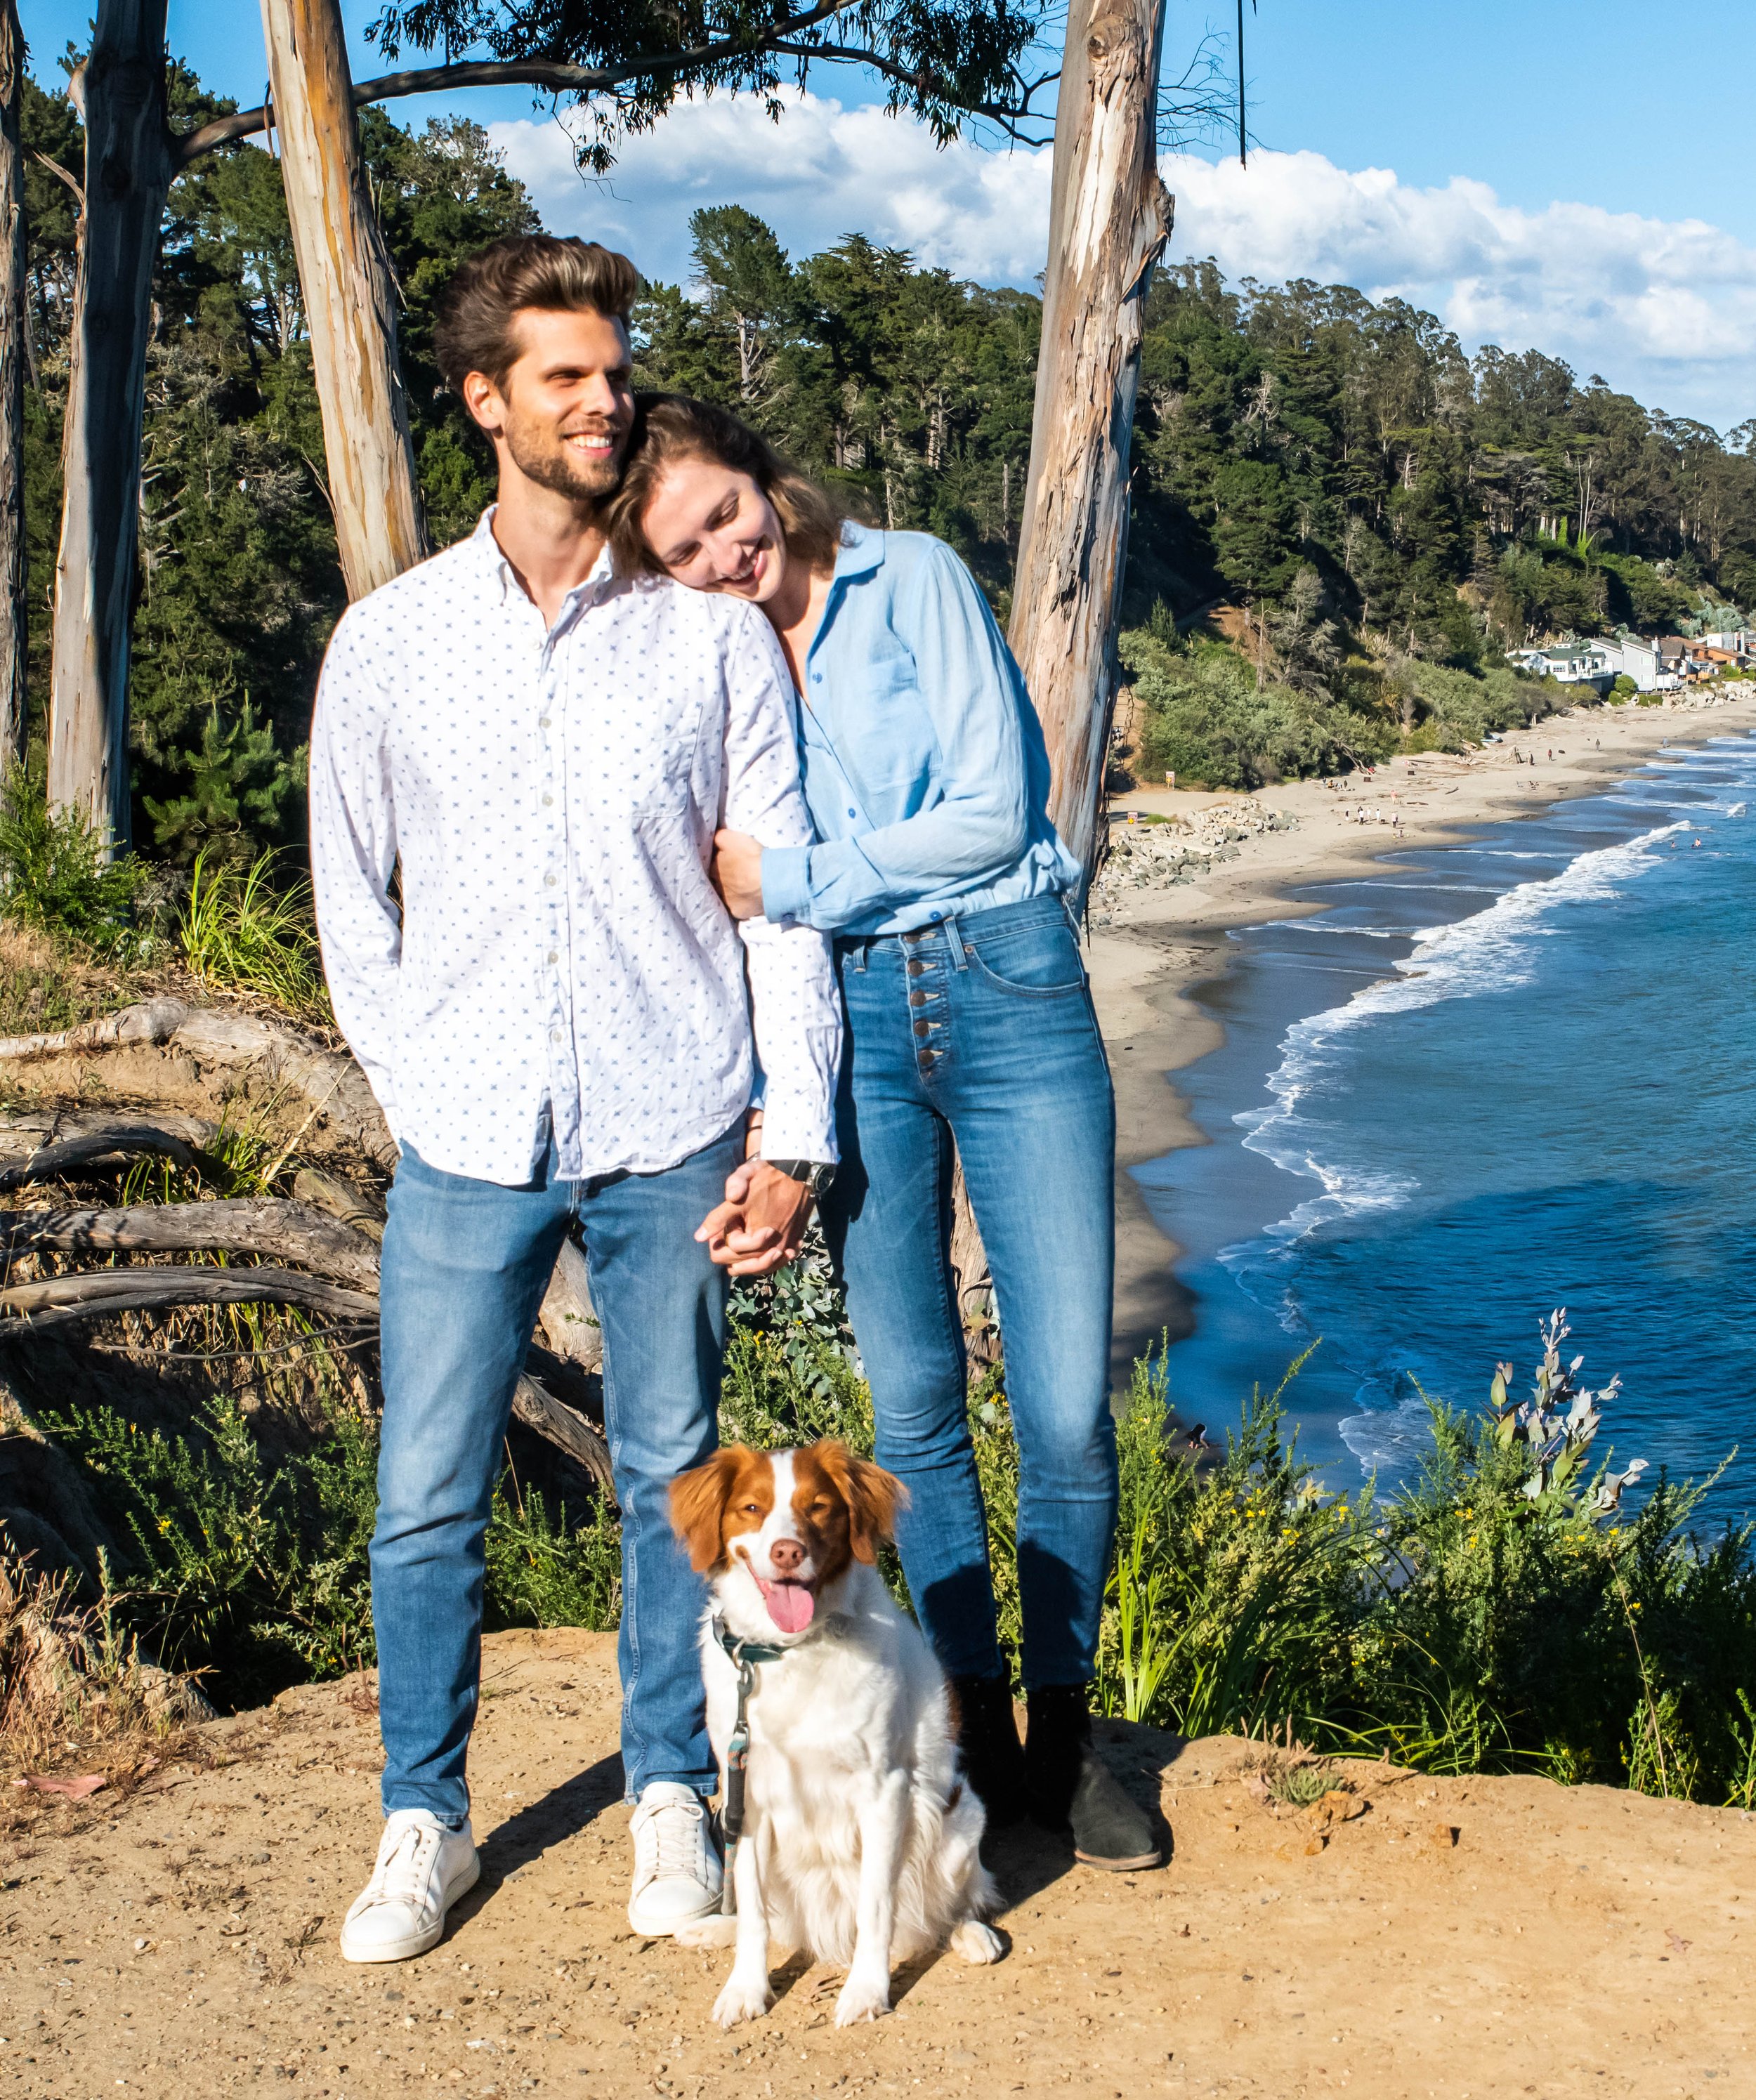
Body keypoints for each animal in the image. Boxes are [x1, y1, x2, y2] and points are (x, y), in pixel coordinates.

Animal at [667, 1439, 1004, 2028]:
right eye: (752, 1508)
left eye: (818, 1507)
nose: (786, 1552)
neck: (789, 1651)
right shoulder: (748, 1792)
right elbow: (752, 1911)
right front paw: (746, 1989)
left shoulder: (884, 1791)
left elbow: (877, 1905)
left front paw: (866, 1991)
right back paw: (712, 1928)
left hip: (960, 1820)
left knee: (950, 1906)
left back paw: (971, 1934)